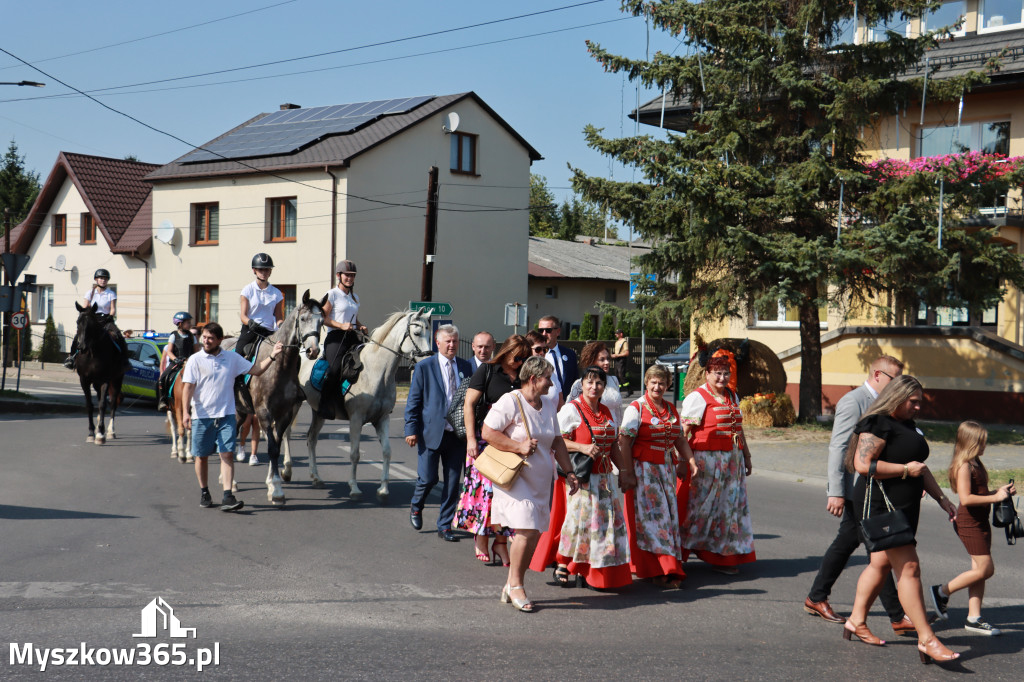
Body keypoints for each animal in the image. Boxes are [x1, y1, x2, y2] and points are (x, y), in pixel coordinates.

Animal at [301, 307, 434, 499]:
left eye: (430, 332)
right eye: (417, 333)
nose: (428, 360)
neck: (376, 371)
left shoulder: (382, 419)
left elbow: (387, 451)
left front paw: (383, 489)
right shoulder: (356, 420)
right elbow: (354, 454)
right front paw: (354, 488)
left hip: (318, 412)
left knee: (311, 439)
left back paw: (316, 478)